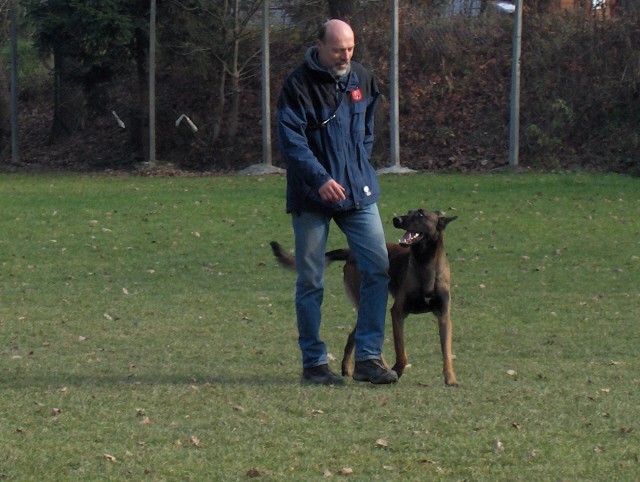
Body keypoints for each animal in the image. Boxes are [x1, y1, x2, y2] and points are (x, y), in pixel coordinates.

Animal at [270, 209, 460, 386]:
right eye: (409, 212)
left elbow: (446, 352)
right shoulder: (397, 312)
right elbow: (402, 352)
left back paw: (351, 367)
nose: (396, 219)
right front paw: (397, 370)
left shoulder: (444, 317)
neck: (425, 265)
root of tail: (351, 252)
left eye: (420, 214)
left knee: (354, 335)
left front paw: (450, 378)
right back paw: (380, 369)